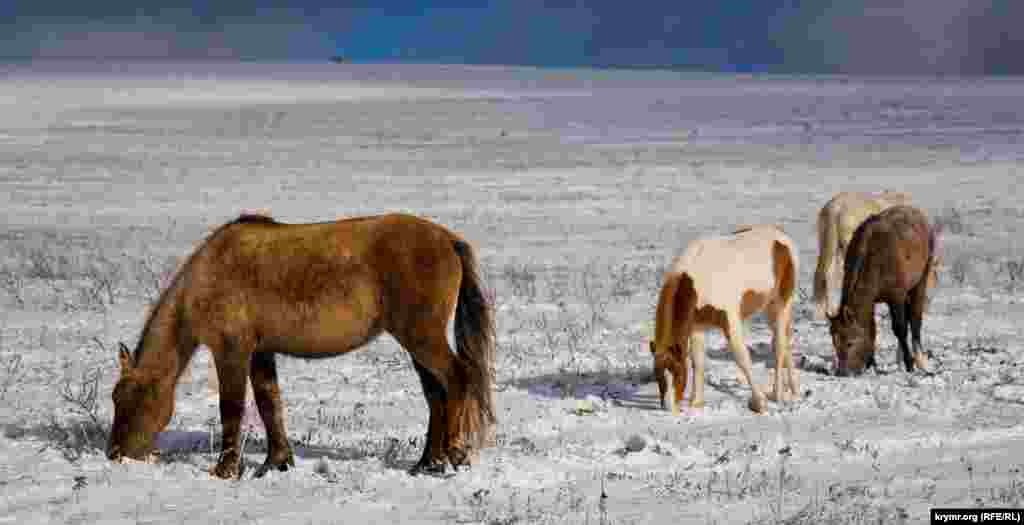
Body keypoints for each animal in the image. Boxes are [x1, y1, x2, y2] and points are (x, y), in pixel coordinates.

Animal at [108, 212, 495, 478]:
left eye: (131, 399)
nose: (114, 453)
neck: (209, 274)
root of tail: (447, 239)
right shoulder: (260, 352)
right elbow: (269, 403)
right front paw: (277, 461)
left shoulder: (231, 349)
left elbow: (232, 408)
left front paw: (226, 469)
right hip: (416, 343)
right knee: (436, 395)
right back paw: (428, 462)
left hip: (421, 337)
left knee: (458, 378)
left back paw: (454, 452)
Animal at [651, 224, 802, 413]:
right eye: (657, 374)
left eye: (678, 373)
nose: (668, 407)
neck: (697, 281)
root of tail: (781, 236)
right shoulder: (697, 326)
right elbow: (697, 361)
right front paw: (696, 402)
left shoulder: (730, 321)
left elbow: (742, 358)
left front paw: (759, 403)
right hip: (769, 309)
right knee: (783, 342)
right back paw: (794, 390)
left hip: (782, 304)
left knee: (780, 346)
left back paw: (778, 394)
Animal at [827, 204, 937, 376]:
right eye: (834, 342)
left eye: (850, 342)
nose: (843, 372)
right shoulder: (871, 301)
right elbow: (871, 329)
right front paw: (871, 363)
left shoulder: (896, 297)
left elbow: (900, 328)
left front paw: (909, 364)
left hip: (920, 281)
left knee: (915, 320)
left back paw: (920, 361)